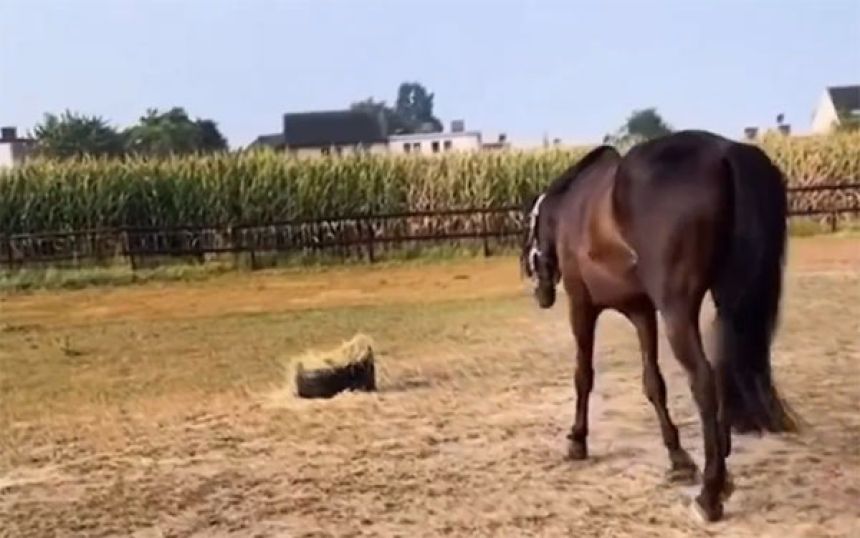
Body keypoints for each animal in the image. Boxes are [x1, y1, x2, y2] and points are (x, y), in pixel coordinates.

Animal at [520, 129, 798, 523]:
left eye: (530, 233)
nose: (540, 293)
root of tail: (725, 152)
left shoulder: (582, 307)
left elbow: (583, 375)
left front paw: (577, 440)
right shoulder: (641, 312)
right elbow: (654, 383)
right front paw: (678, 458)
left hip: (677, 310)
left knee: (704, 380)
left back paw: (710, 494)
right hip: (726, 302)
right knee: (726, 371)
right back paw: (721, 468)